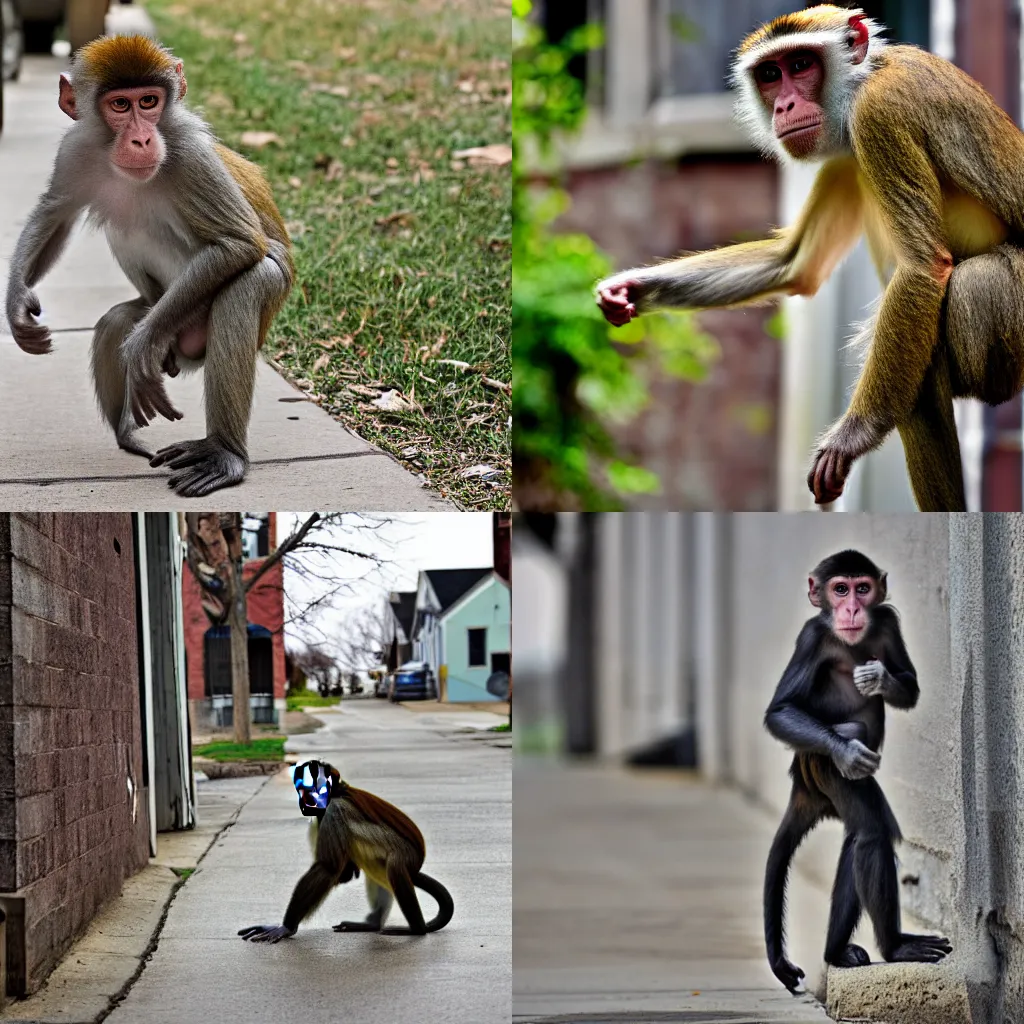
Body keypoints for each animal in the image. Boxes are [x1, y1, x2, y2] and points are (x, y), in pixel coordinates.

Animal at [8, 38, 294, 499]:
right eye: (120, 105)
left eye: (149, 101)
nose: (142, 139)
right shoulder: (77, 148)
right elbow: (55, 214)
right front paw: (16, 304)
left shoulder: (192, 156)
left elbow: (239, 243)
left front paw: (140, 347)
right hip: (165, 316)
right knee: (116, 315)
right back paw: (128, 432)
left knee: (252, 282)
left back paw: (224, 452)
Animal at [239, 761, 456, 942]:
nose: (305, 800)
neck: (336, 792)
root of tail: (418, 858)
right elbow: (343, 873)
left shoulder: (333, 810)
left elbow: (329, 867)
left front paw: (286, 927)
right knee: (378, 864)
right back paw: (372, 924)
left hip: (407, 854)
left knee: (393, 866)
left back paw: (417, 929)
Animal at [593, 2, 1024, 509]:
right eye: (769, 75)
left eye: (800, 65)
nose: (784, 106)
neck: (863, 78)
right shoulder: (843, 152)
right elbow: (795, 263)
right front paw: (630, 288)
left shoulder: (877, 114)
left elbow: (922, 268)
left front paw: (855, 435)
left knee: (959, 299)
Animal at [761, 552, 950, 991]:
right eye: (840, 589)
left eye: (862, 588)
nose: (850, 609)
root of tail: (801, 780)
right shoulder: (812, 635)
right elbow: (781, 711)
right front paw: (848, 752)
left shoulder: (887, 619)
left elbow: (909, 682)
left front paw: (879, 677)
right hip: (819, 767)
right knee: (871, 831)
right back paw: (894, 948)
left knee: (860, 835)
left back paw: (836, 952)